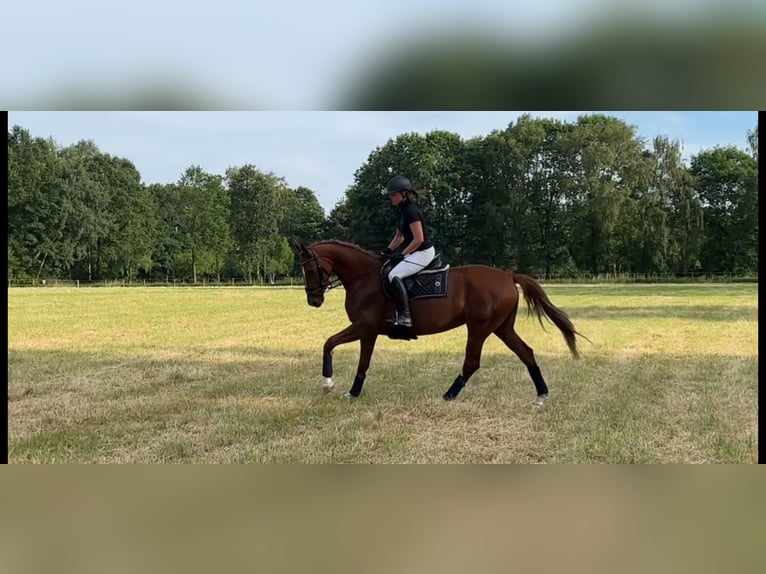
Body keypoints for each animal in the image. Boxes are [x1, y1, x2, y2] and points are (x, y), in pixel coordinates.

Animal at [294, 239, 585, 404]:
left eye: (309, 269)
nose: (314, 301)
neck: (364, 277)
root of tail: (508, 275)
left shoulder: (364, 327)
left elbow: (329, 343)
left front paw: (328, 384)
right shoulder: (369, 332)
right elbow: (360, 362)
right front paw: (353, 392)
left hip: (479, 328)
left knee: (472, 362)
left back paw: (449, 395)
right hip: (502, 327)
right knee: (526, 352)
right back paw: (541, 394)